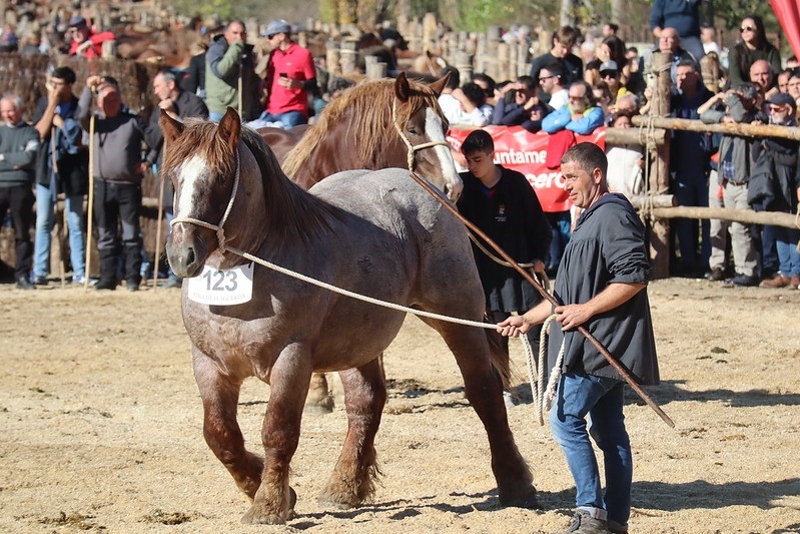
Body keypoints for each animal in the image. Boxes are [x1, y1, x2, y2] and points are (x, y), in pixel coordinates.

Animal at [161, 110, 536, 528]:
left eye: (223, 177)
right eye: (174, 176)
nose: (182, 255)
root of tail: (422, 183)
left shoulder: (292, 359)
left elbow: (278, 431)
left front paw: (269, 504)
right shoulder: (209, 363)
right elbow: (220, 435)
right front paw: (269, 489)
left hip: (455, 316)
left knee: (484, 390)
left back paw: (515, 482)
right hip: (357, 340)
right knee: (366, 402)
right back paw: (345, 486)